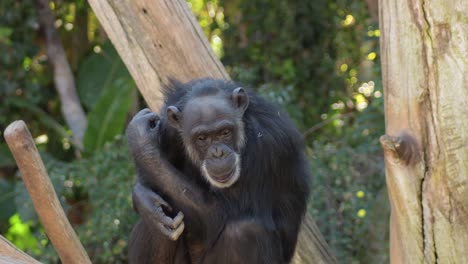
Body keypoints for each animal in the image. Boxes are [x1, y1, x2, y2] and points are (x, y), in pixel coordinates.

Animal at [127, 79, 310, 262]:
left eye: (225, 132)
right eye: (202, 138)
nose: (218, 153)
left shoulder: (268, 143)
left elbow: (220, 214)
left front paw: (141, 139)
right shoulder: (169, 129)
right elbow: (148, 181)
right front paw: (145, 201)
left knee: (244, 231)